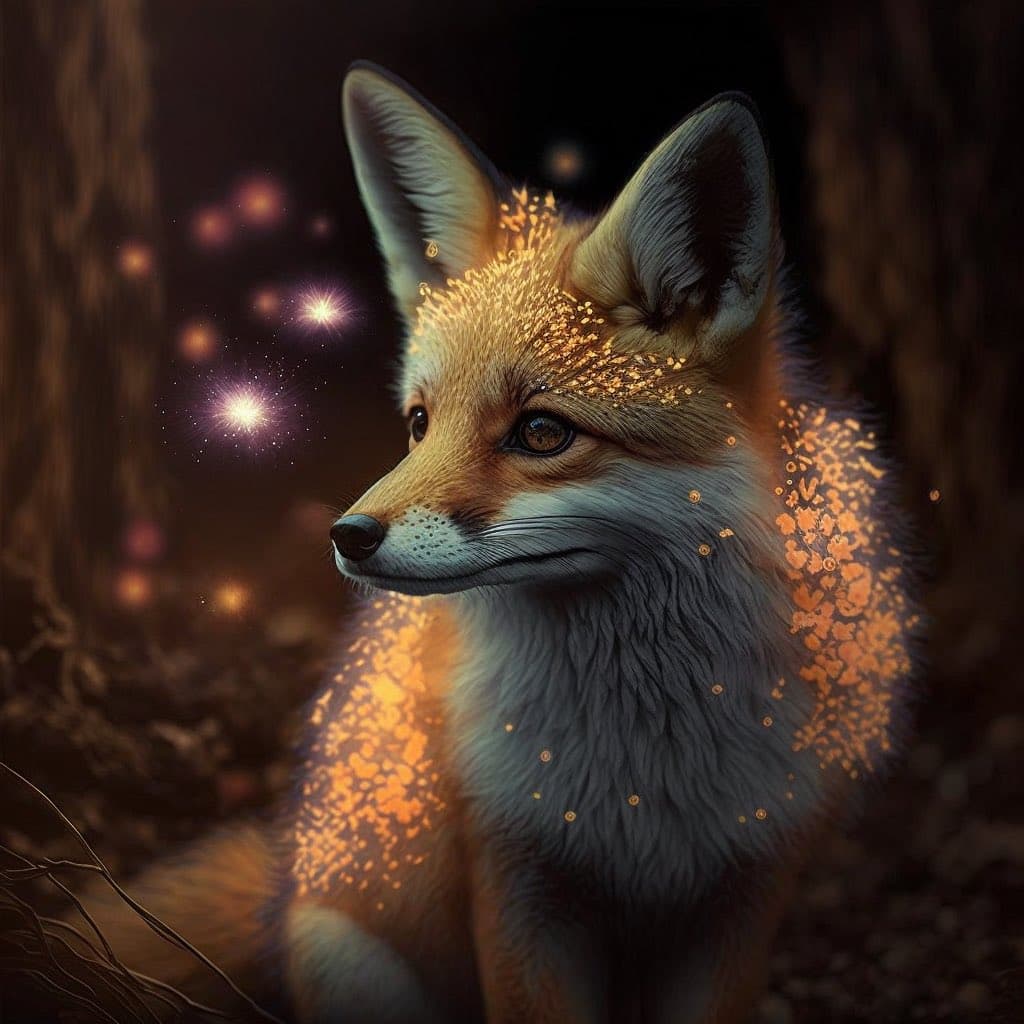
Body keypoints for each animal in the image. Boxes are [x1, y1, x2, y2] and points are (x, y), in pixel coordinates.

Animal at [69, 62, 916, 1024]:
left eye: (542, 433)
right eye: (418, 423)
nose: (347, 537)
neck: (645, 767)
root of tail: (287, 879)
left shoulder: (746, 889)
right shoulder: (515, 876)